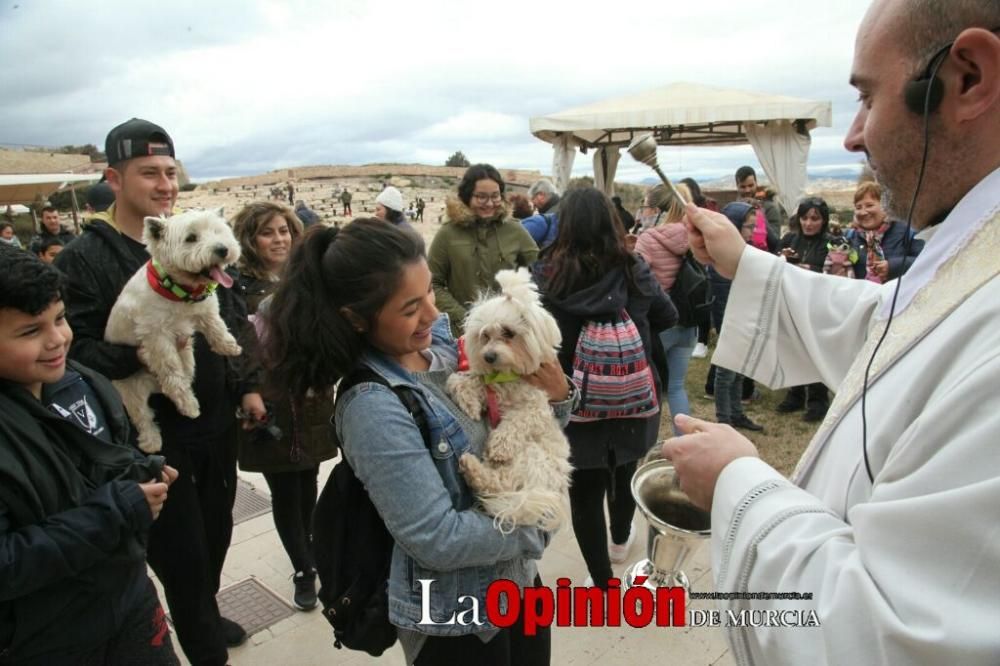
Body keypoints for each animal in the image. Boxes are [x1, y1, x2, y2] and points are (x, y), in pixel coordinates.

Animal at [106, 209, 243, 452]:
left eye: (217, 231)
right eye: (191, 238)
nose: (222, 249)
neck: (178, 290)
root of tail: (151, 385)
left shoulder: (203, 311)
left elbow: (216, 325)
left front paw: (228, 345)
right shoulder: (157, 336)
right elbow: (171, 370)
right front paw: (189, 404)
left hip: (186, 361)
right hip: (129, 389)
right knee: (144, 413)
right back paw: (153, 440)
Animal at [450, 268, 576, 532]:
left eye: (508, 333)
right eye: (484, 335)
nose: (488, 356)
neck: (507, 377)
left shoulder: (536, 409)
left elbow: (518, 421)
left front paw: (500, 444)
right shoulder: (489, 386)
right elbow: (458, 380)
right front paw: (469, 402)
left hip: (531, 455)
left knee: (501, 484)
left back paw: (474, 468)